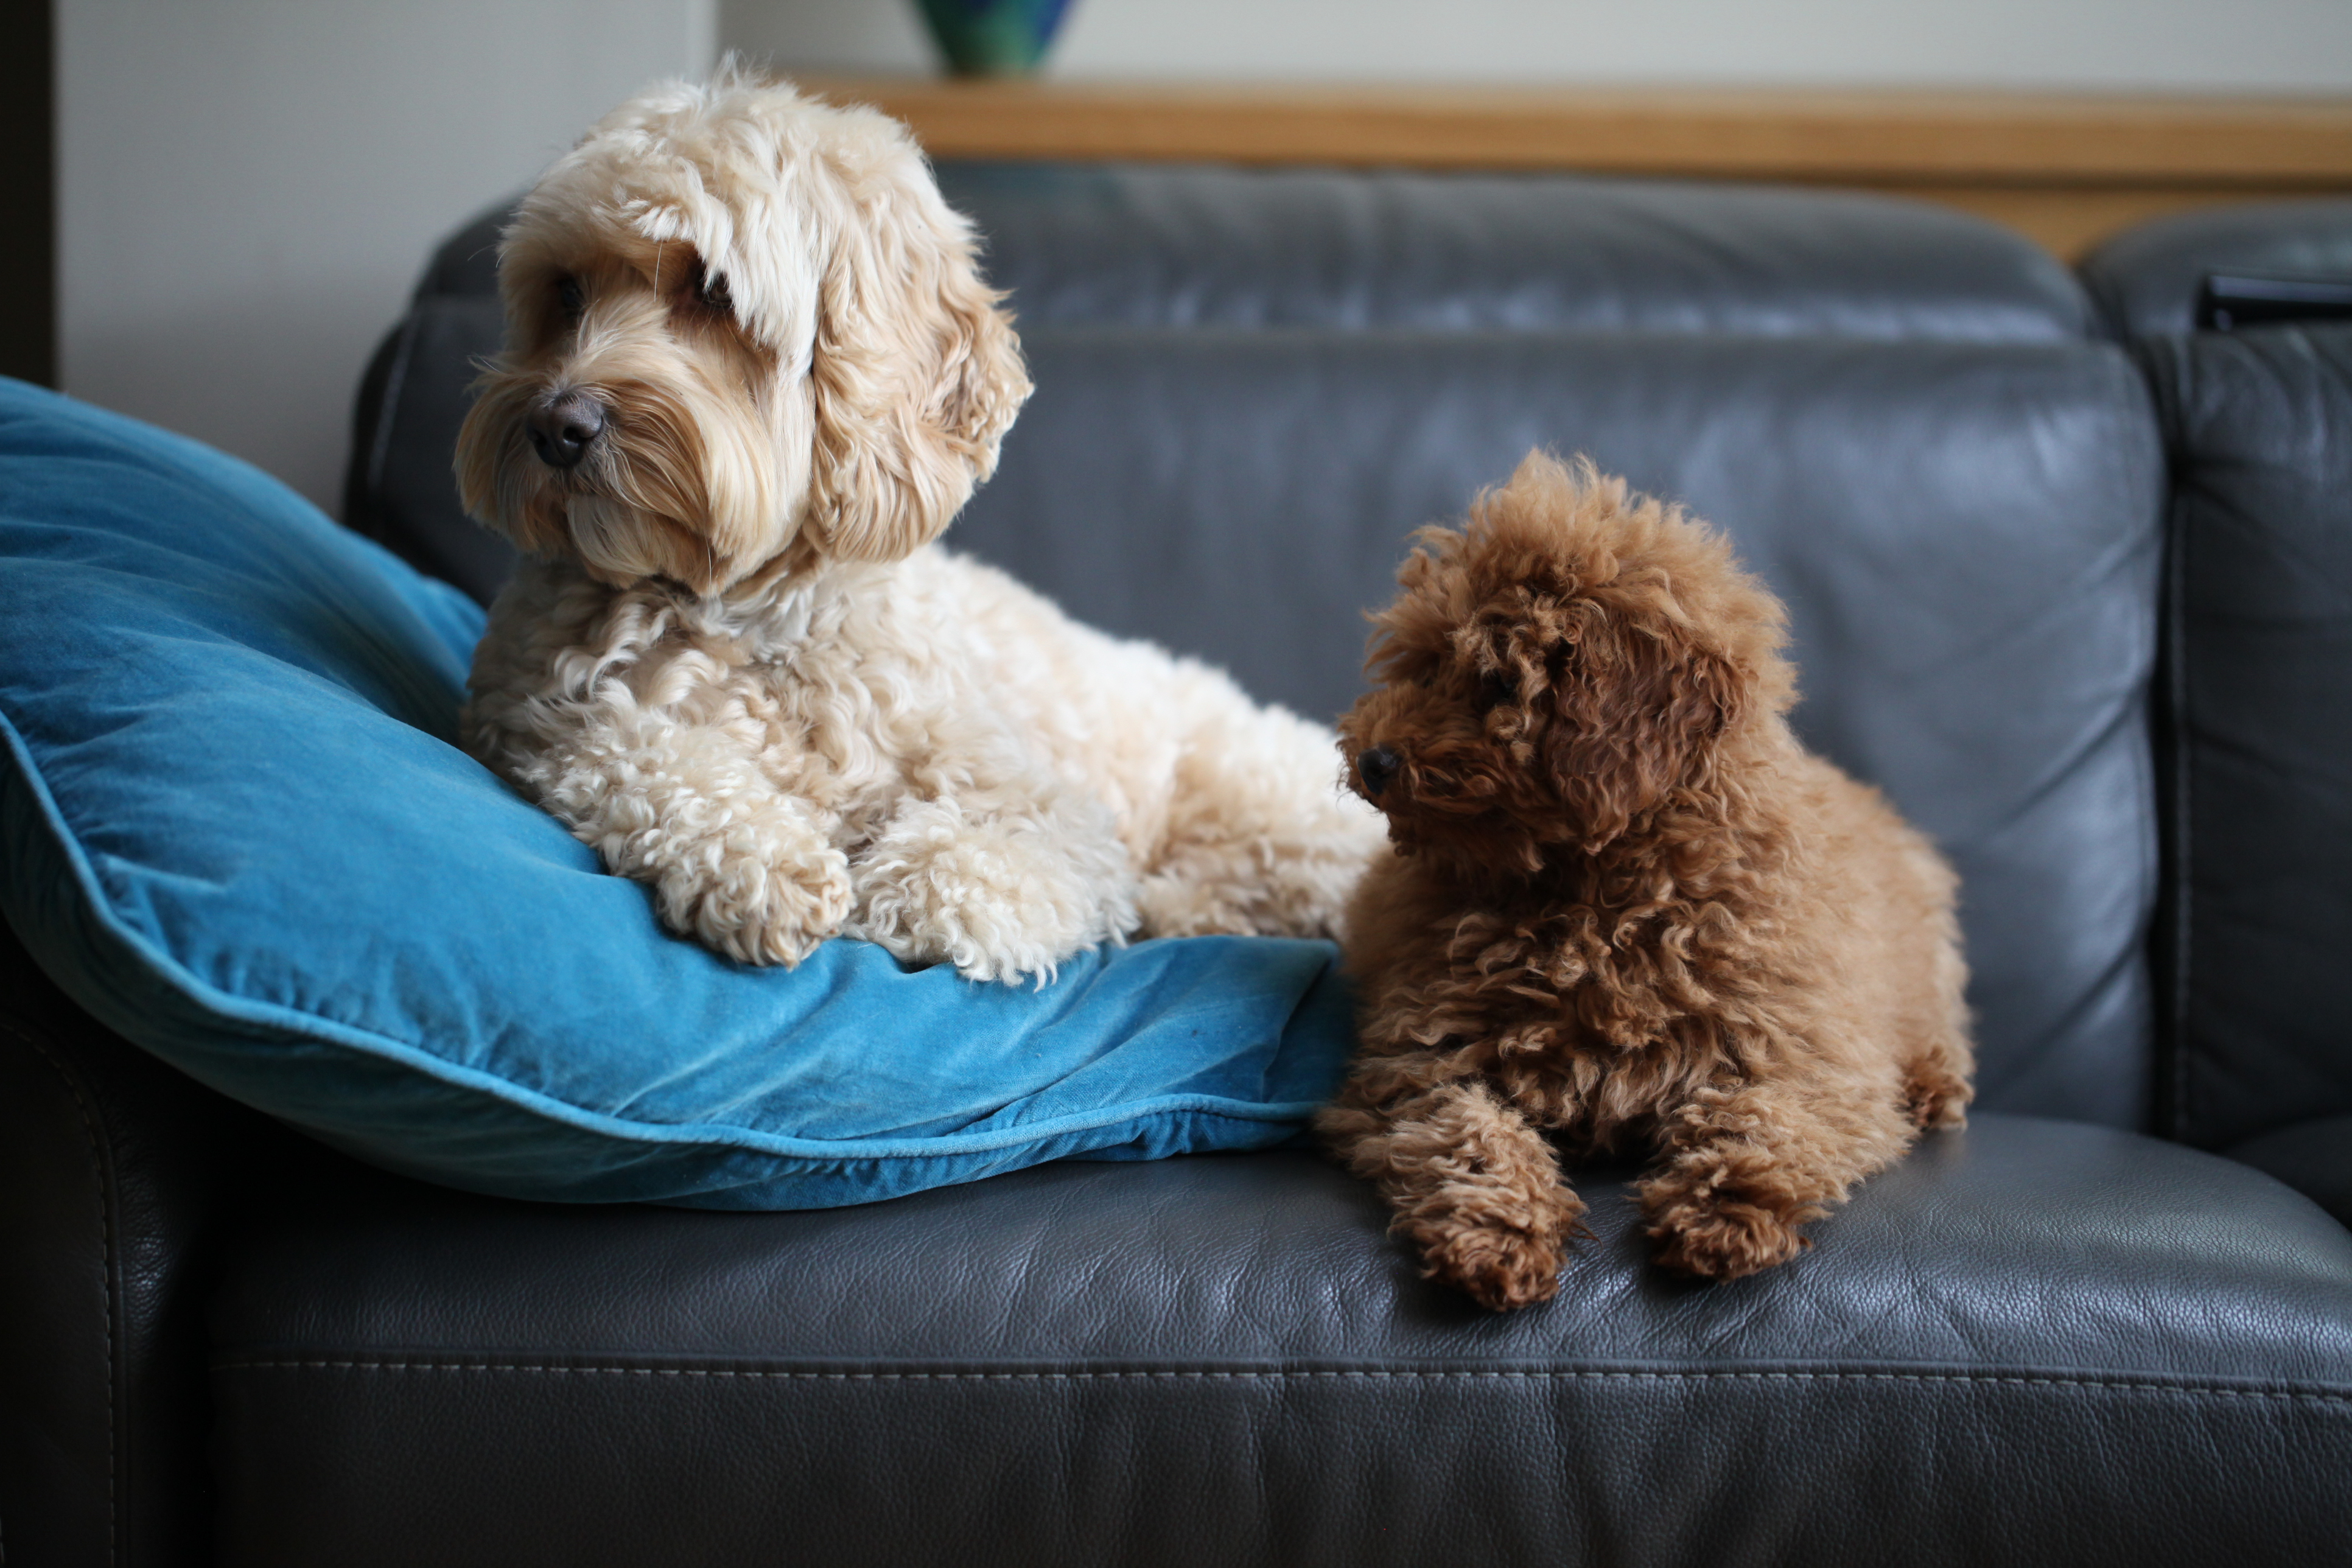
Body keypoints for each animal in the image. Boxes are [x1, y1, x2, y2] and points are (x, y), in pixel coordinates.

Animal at [451, 76, 1383, 982]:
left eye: (710, 292)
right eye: (566, 292)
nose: (557, 425)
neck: (752, 612)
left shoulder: (1052, 808)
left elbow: (998, 857)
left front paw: (914, 890)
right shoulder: (538, 717)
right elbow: (633, 752)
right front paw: (763, 859)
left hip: (1264, 806)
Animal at [1326, 453, 1966, 1316]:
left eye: (1496, 682)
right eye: (1423, 666)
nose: (1373, 759)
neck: (1594, 895)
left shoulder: (1805, 1051)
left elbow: (1769, 1118)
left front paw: (1725, 1208)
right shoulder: (1418, 1064)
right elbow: (1469, 1134)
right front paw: (1499, 1232)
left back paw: (1931, 1084)